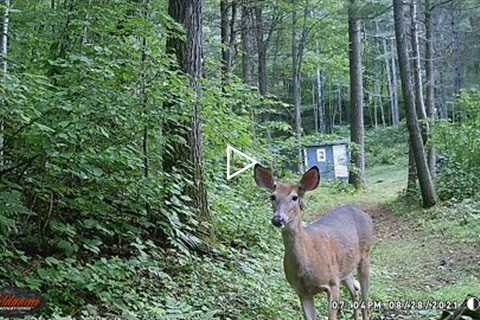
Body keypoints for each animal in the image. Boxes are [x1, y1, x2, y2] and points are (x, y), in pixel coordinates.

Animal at [255, 164, 376, 318]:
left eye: (294, 197)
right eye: (273, 196)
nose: (278, 219)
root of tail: (364, 214)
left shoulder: (332, 283)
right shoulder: (302, 291)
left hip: (365, 255)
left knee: (365, 297)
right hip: (344, 267)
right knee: (355, 289)